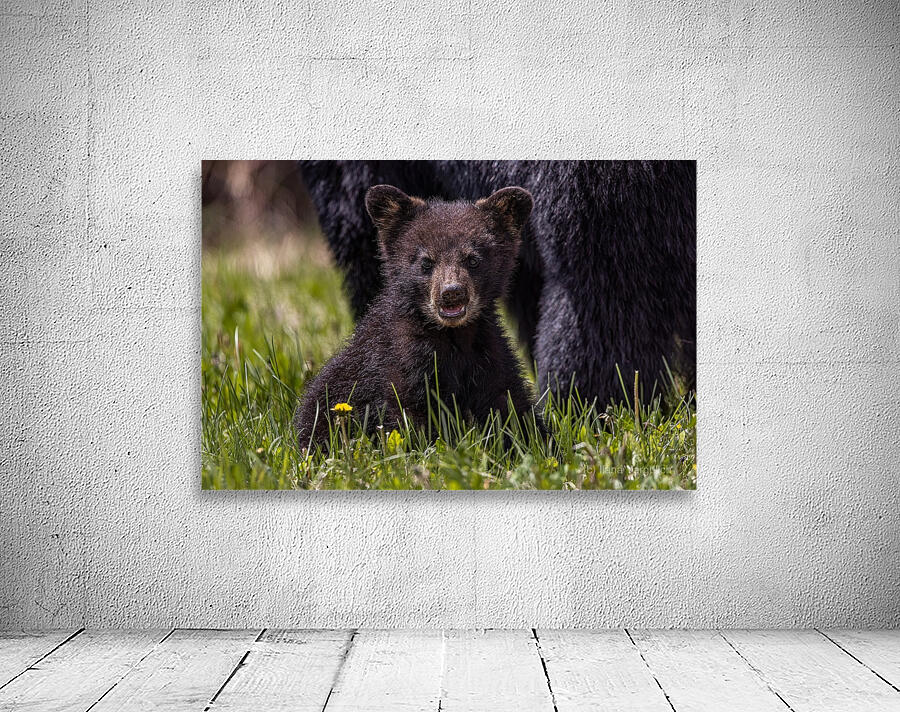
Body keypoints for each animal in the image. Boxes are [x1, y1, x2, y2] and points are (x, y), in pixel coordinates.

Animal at [293, 184, 541, 449]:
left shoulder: (489, 353)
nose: (451, 292)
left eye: (473, 259)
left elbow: (510, 404)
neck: (452, 335)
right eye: (426, 262)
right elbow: (409, 415)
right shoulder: (401, 362)